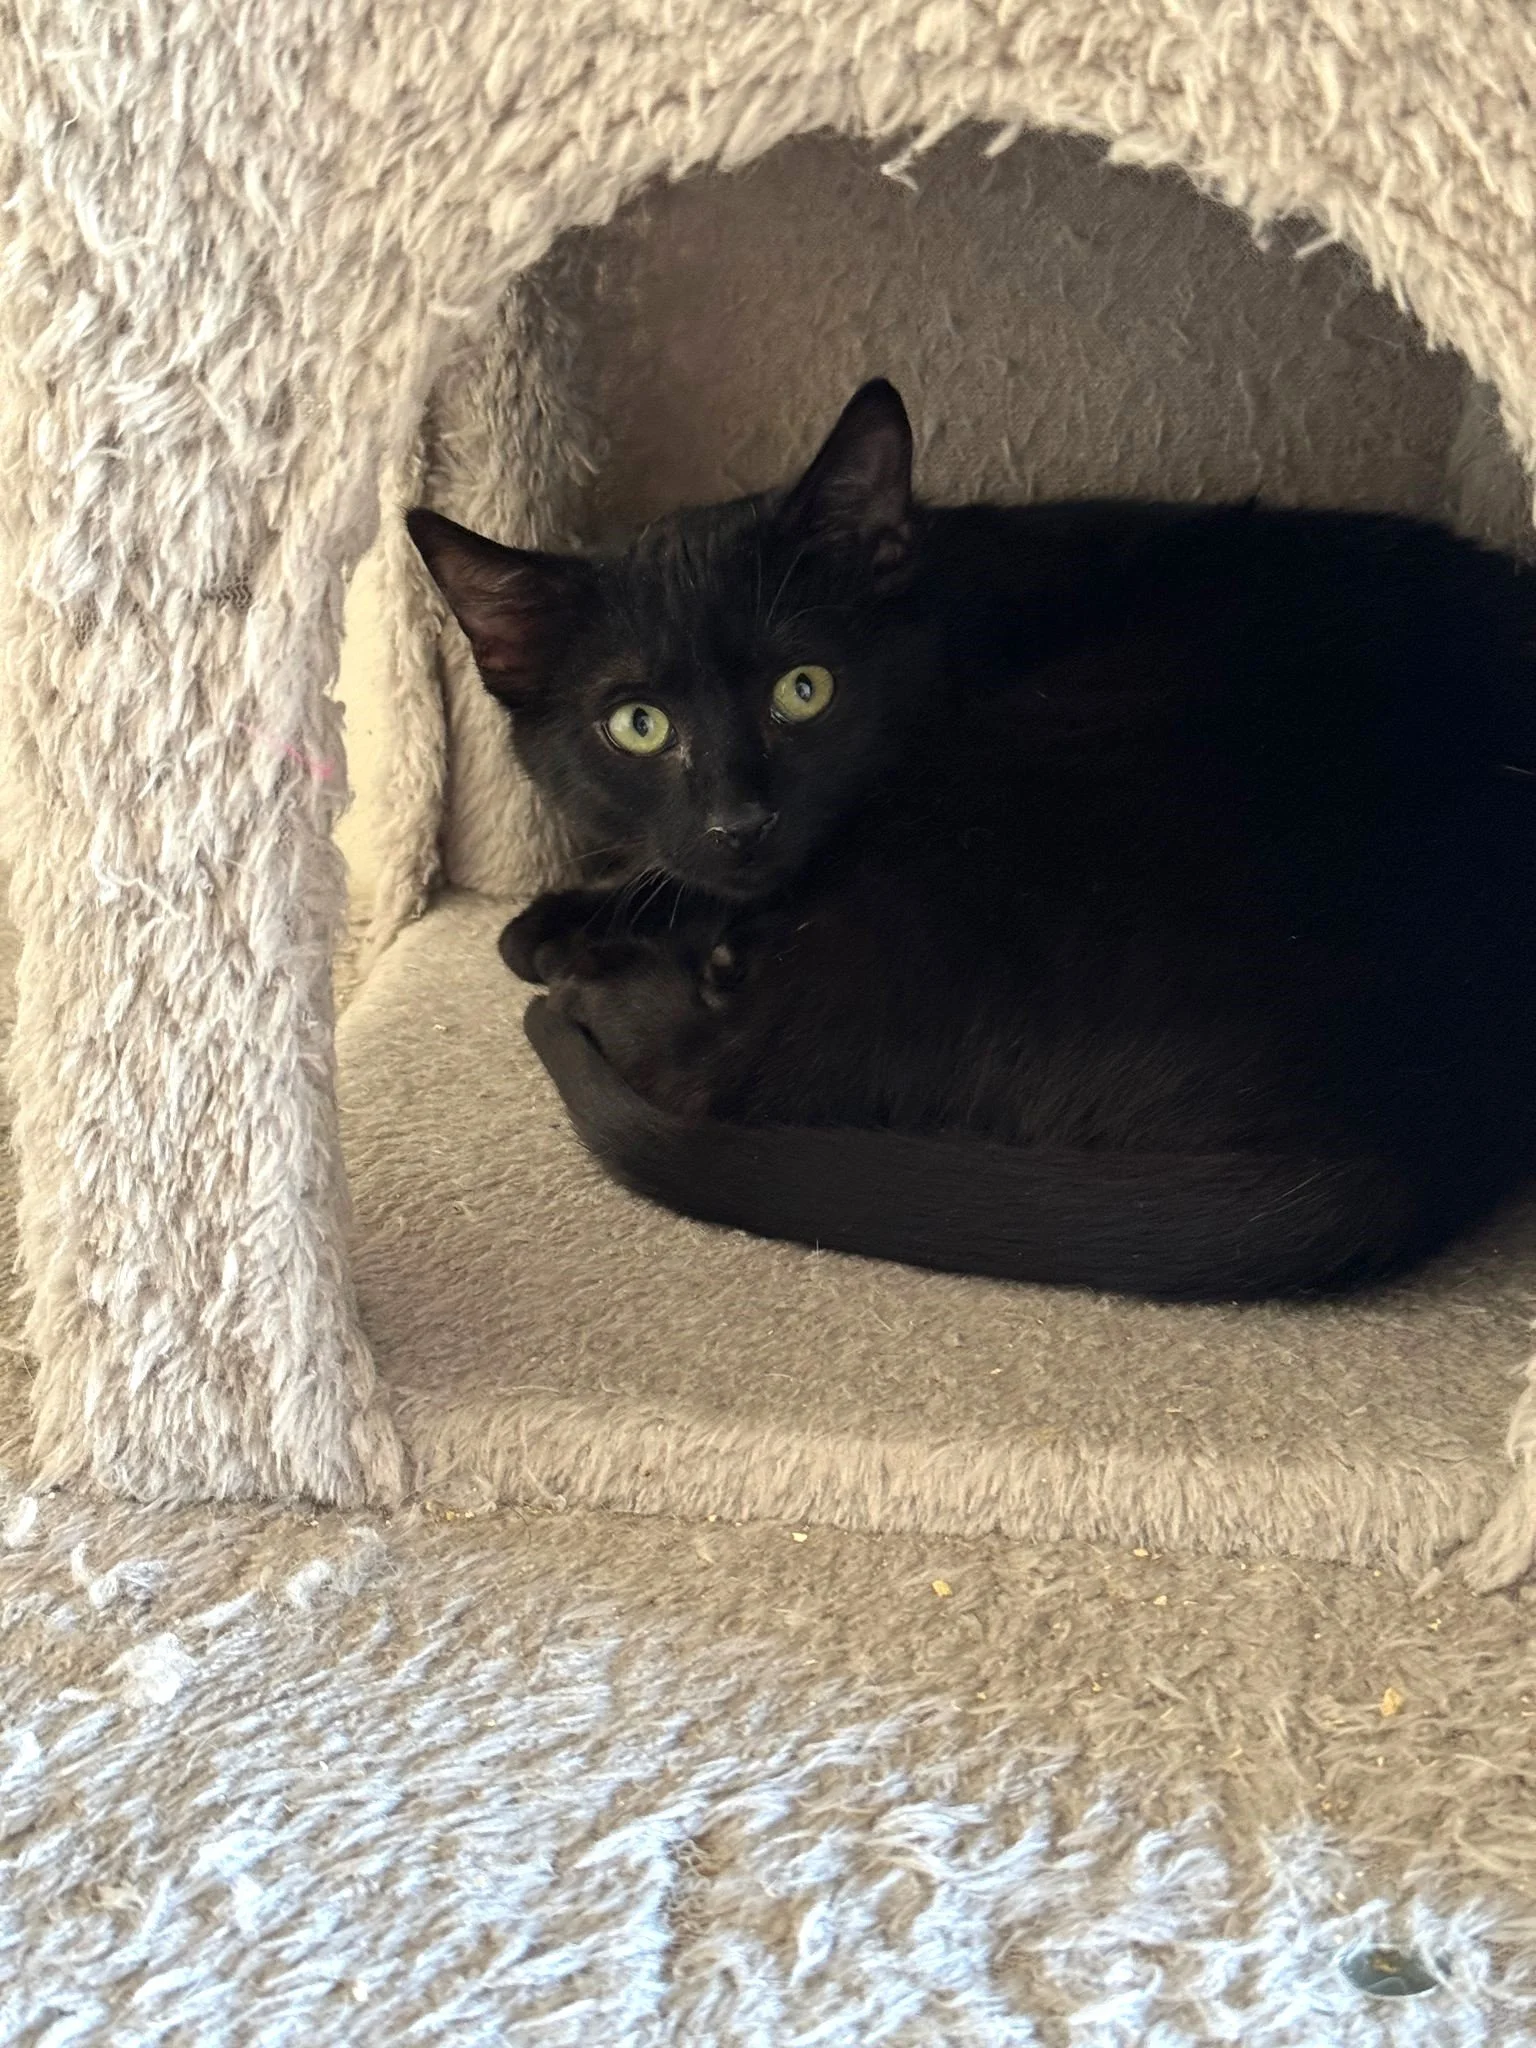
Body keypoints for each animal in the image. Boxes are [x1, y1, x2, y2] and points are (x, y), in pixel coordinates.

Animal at [407, 379, 1536, 1300]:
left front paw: (572, 931)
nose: (741, 821)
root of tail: (1415, 1127)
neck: (942, 603)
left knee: (739, 1061)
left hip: (1021, 777)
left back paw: (597, 987)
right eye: (638, 725)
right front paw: (585, 903)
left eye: (804, 689)